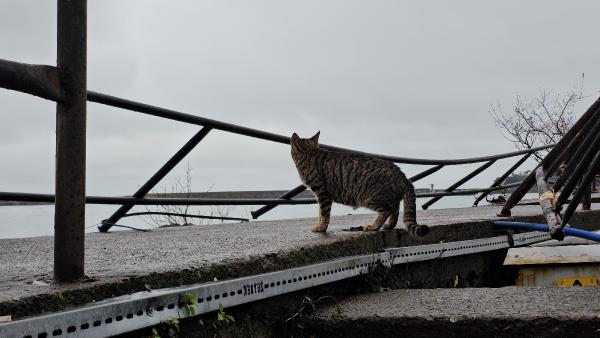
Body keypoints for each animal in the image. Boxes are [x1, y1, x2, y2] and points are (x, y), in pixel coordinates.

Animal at [290, 131, 426, 236]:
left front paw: (321, 227)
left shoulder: (322, 193)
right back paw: (388, 225)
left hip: (370, 198)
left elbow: (324, 213)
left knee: (386, 211)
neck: (309, 153)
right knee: (395, 210)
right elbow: (320, 213)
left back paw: (374, 227)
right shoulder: (321, 195)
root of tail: (403, 176)